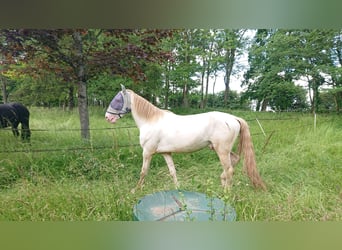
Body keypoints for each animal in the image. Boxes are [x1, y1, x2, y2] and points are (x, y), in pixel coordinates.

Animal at [105, 85, 266, 192]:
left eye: (117, 99)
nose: (108, 117)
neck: (150, 121)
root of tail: (233, 118)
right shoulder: (166, 153)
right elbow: (172, 171)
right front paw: (178, 188)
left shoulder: (147, 152)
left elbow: (143, 171)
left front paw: (135, 190)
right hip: (221, 150)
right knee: (234, 161)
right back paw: (222, 183)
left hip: (221, 150)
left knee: (230, 169)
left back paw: (226, 193)